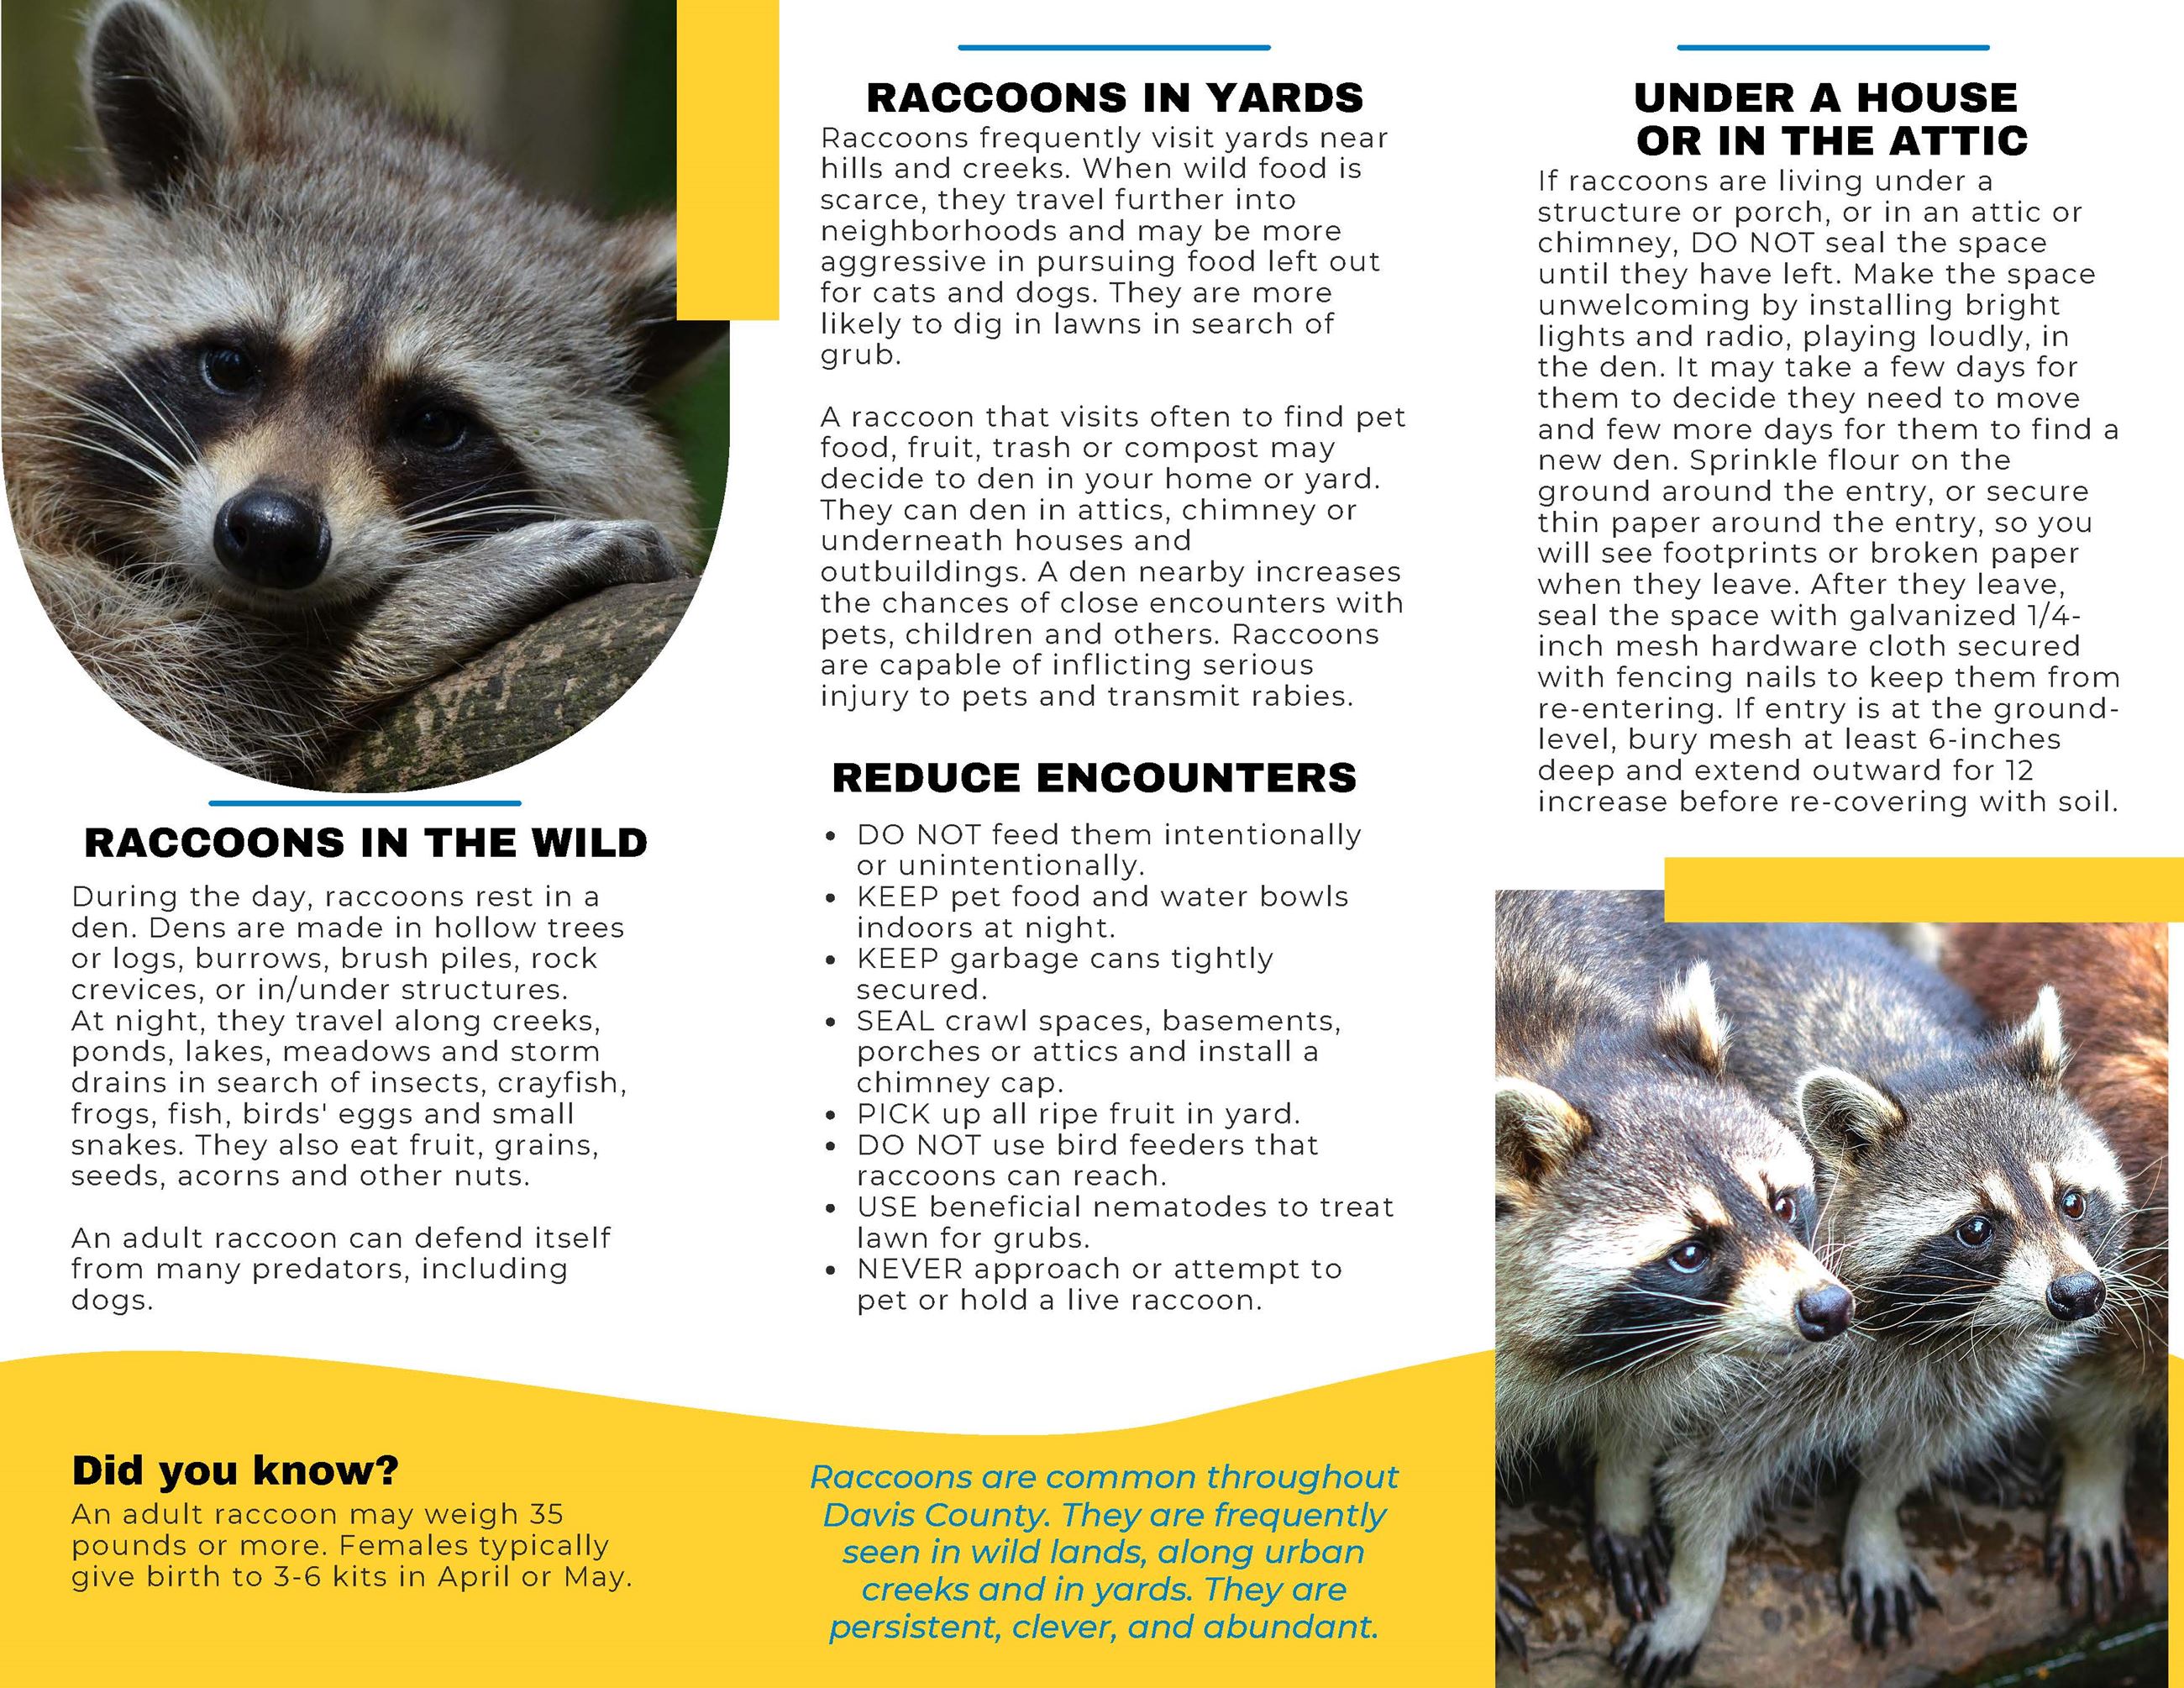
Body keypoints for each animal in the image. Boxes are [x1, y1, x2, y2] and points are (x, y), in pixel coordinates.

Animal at [1495, 892, 1851, 1650]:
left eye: (1783, 1203)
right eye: (1690, 1251)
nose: (1828, 1307)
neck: (1551, 1047)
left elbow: (1646, 1403)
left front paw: (1621, 1492)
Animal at [1616, 915, 2129, 1683]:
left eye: (2071, 1201)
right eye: (1977, 1228)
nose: (2077, 1293)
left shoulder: (1970, 1367)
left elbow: (1917, 1447)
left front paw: (1875, 1517)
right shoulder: (1743, 1353)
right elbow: (1705, 1473)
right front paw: (1694, 1587)